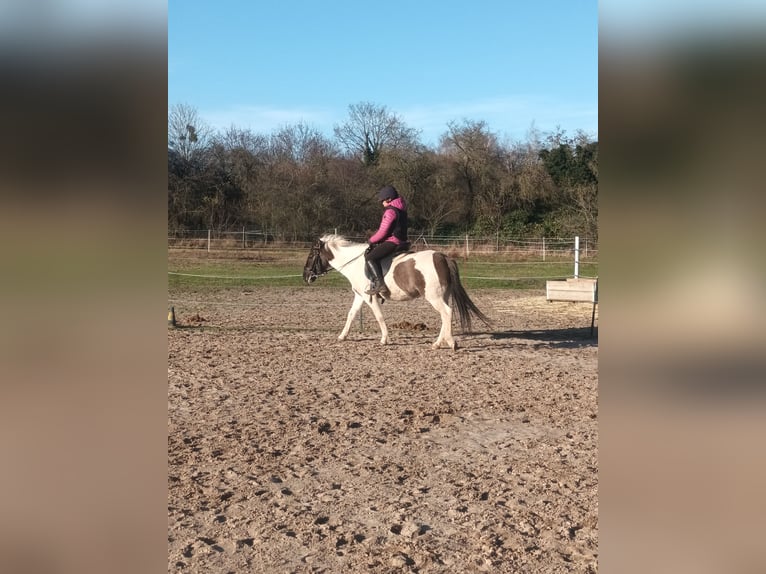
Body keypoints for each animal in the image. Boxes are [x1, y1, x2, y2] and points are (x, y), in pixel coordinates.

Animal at [302, 234, 492, 352]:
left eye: (311, 255)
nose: (306, 276)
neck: (355, 263)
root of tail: (442, 257)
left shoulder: (370, 298)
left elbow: (379, 316)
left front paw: (384, 339)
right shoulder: (360, 295)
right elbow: (351, 314)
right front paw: (342, 336)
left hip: (434, 297)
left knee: (447, 313)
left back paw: (450, 343)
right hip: (442, 295)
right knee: (445, 316)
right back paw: (438, 343)